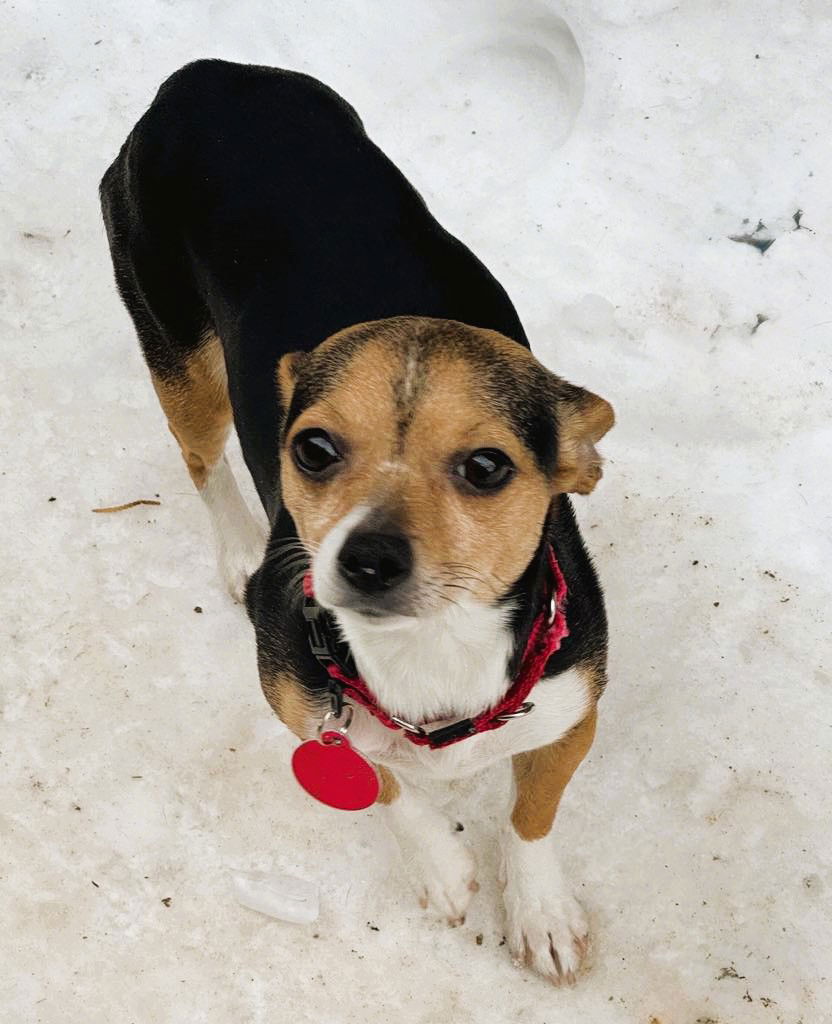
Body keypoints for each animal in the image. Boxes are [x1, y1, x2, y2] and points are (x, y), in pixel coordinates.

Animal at [101, 59, 614, 986]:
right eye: (312, 448)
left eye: (487, 467)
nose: (368, 559)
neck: (431, 656)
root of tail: (209, 74)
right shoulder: (303, 711)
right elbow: (384, 783)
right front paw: (442, 870)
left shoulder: (571, 713)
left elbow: (533, 815)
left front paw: (541, 912)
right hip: (176, 351)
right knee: (200, 458)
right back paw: (238, 549)